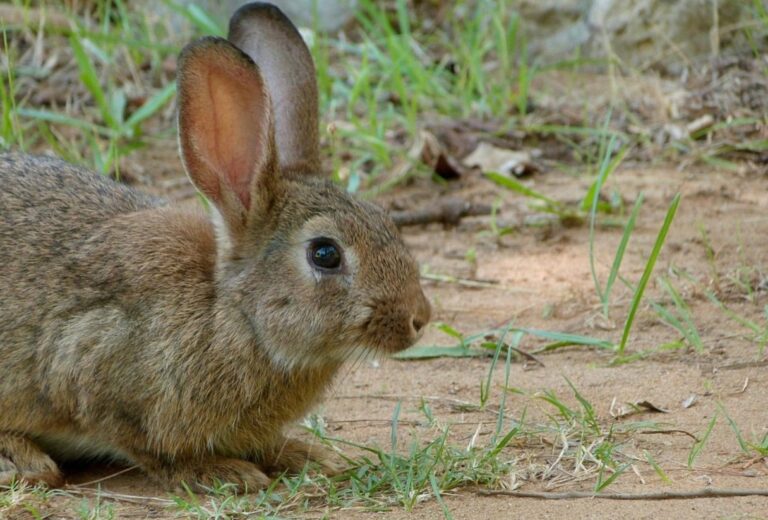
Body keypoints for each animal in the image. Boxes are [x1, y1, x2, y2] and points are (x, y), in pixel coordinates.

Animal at [0, 2, 431, 492]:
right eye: (325, 254)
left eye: (384, 219)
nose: (419, 318)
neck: (234, 313)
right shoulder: (89, 363)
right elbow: (148, 449)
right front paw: (222, 472)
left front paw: (308, 456)